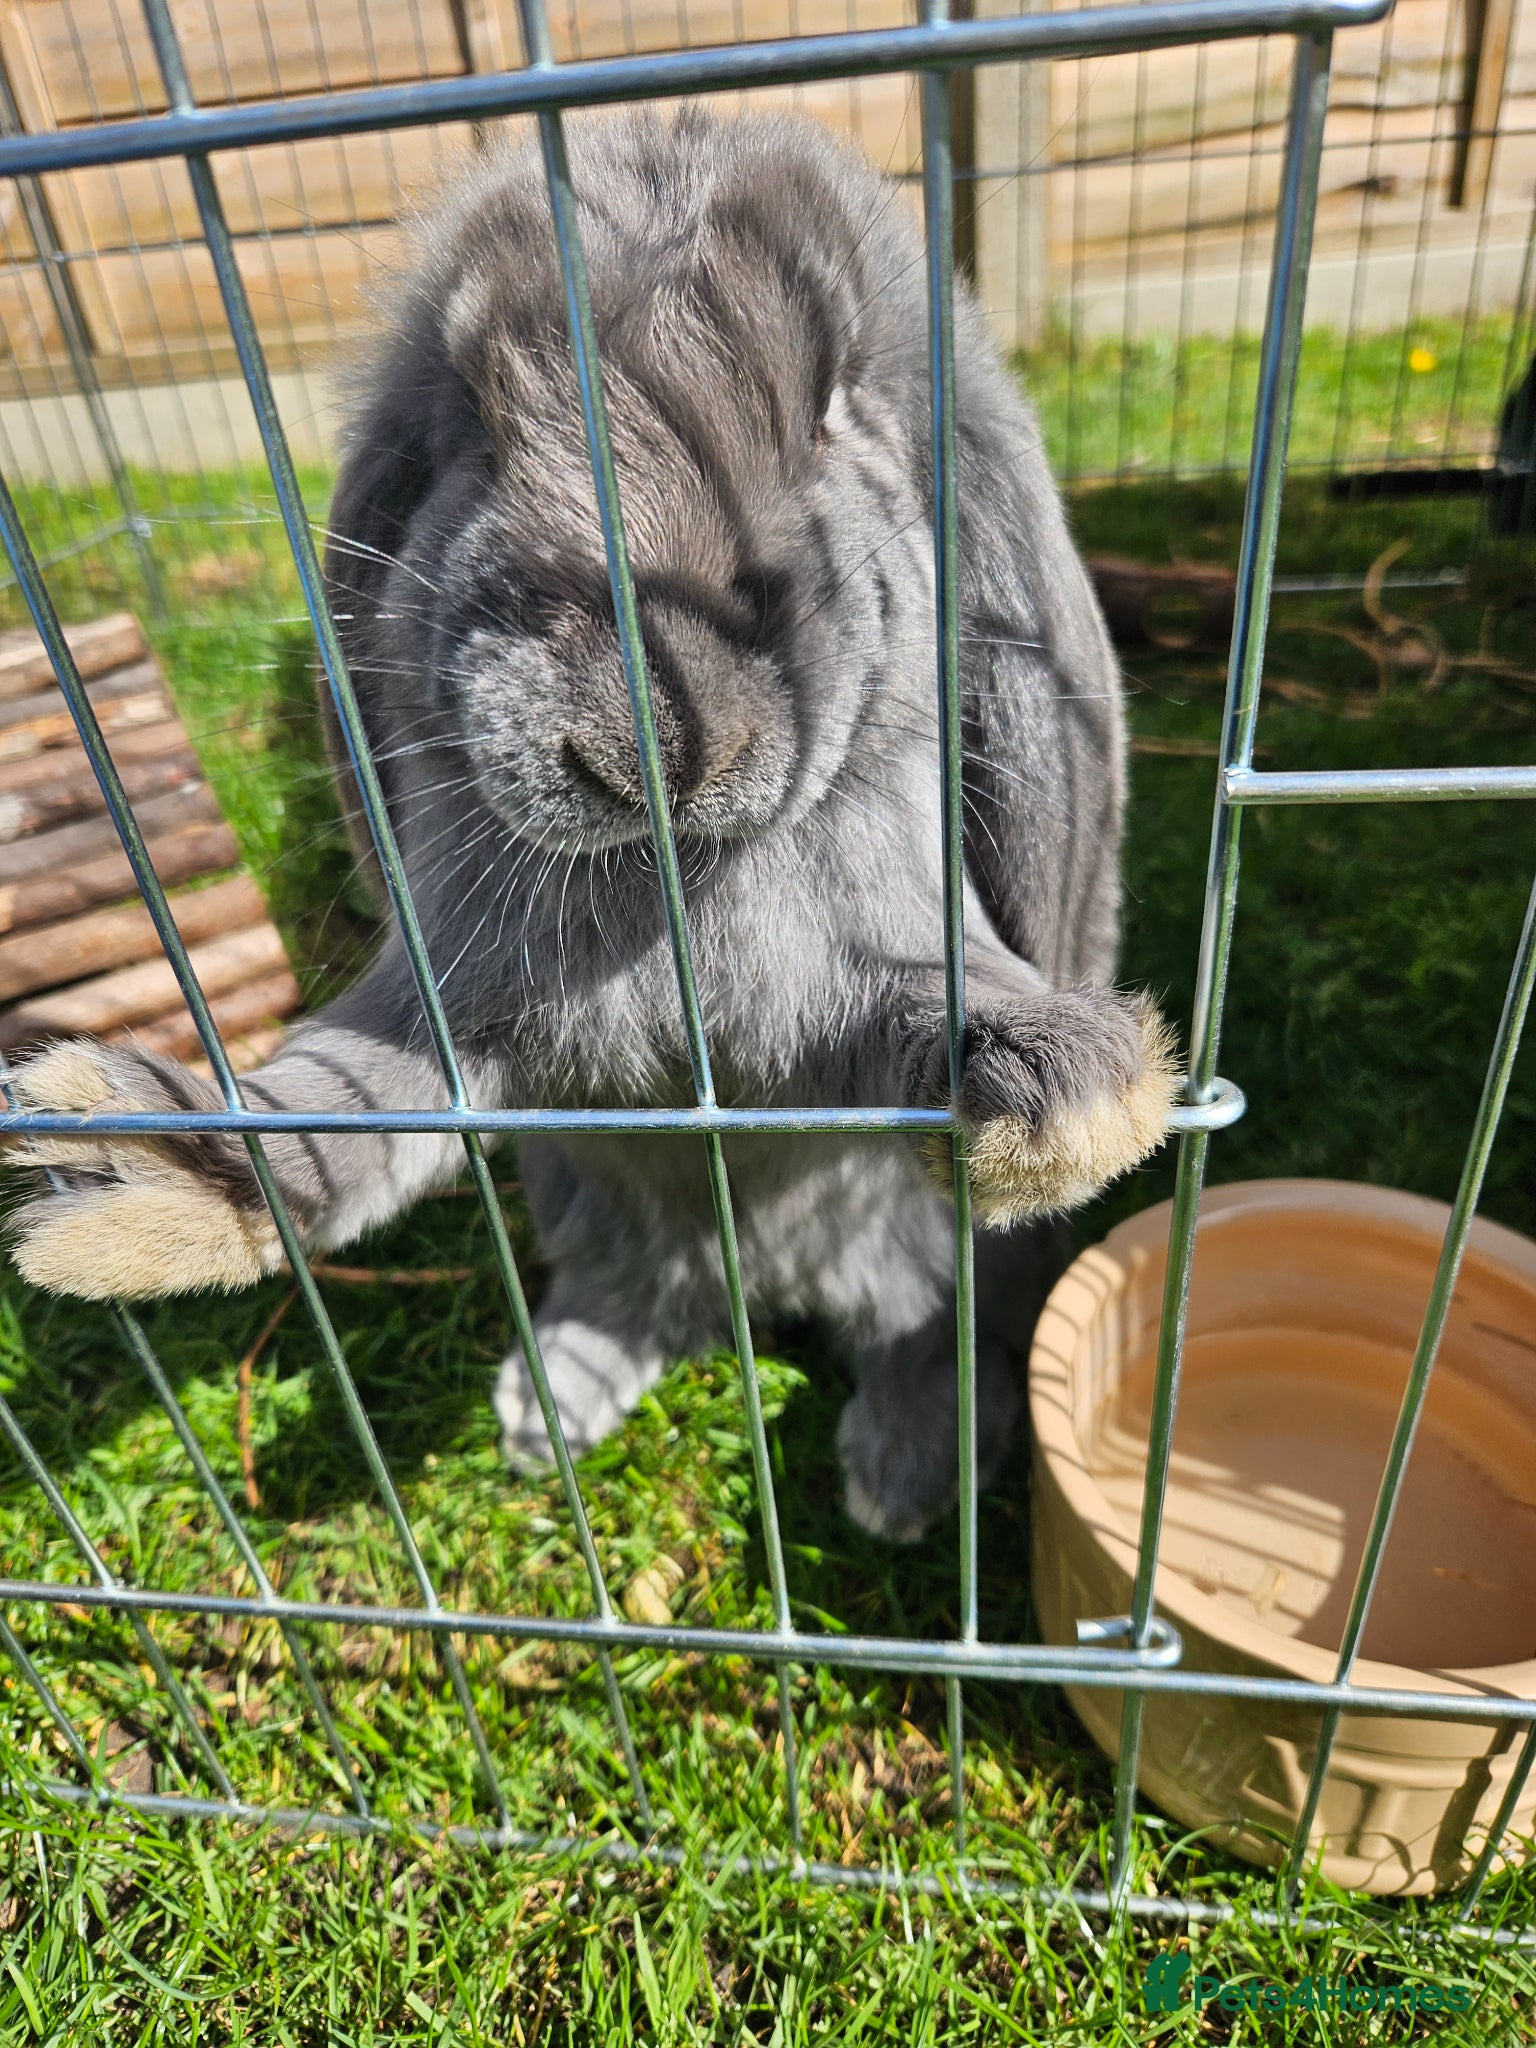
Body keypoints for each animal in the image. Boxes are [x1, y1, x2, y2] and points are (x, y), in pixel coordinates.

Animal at [3, 109, 1176, 1542]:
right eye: (479, 427)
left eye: (833, 408)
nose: (653, 741)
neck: (673, 883)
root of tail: (770, 1288)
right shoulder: (461, 1004)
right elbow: (356, 1094)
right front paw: (129, 1174)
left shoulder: (863, 977)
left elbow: (930, 1020)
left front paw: (1062, 1094)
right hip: (586, 1194)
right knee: (638, 1296)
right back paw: (544, 1407)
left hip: (928, 1259)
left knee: (925, 1325)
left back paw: (904, 1474)